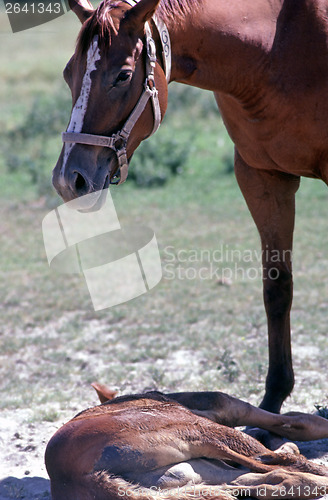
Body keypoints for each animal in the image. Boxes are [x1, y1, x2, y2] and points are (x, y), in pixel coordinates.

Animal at [44, 384, 328, 498]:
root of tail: (77, 475)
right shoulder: (217, 412)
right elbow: (296, 422)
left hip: (195, 472)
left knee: (270, 478)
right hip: (201, 434)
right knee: (280, 464)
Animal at [52, 0, 328, 414]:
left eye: (123, 76)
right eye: (69, 72)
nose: (69, 180)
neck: (276, 48)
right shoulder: (262, 178)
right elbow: (277, 286)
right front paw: (273, 397)